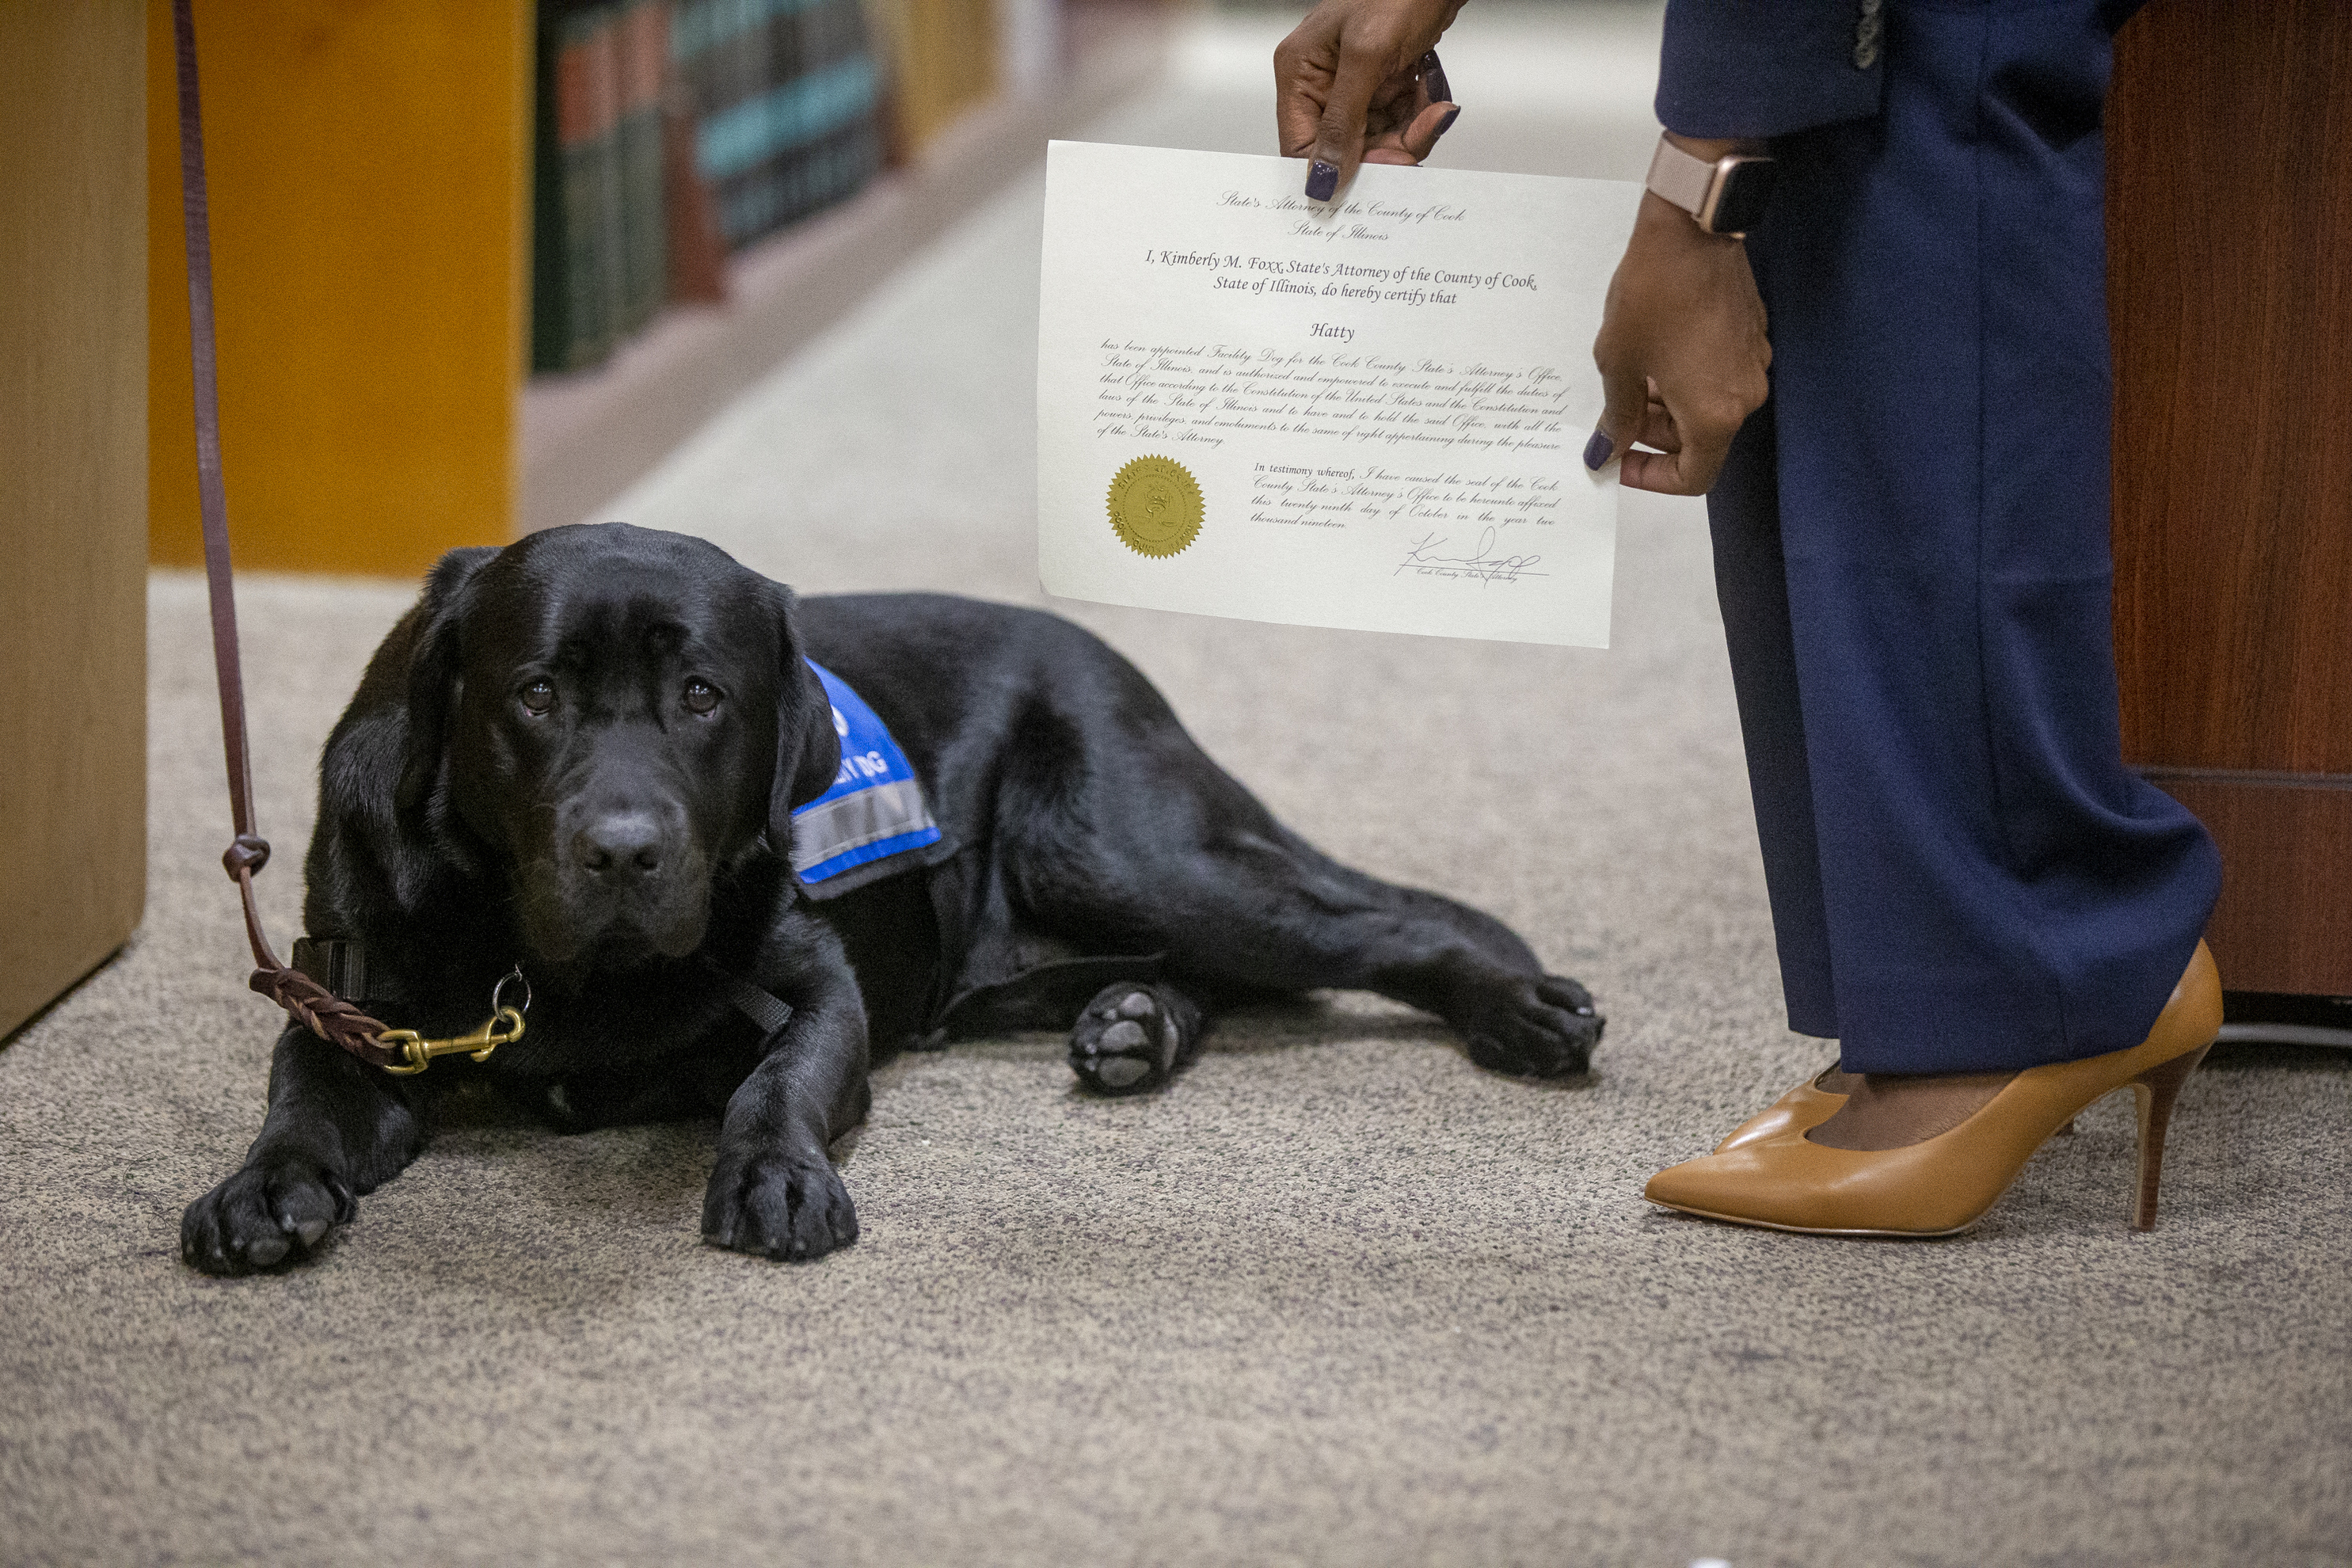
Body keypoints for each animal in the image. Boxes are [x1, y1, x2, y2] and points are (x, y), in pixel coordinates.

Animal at [183, 526, 1608, 1278]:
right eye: (534, 694)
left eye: (703, 697)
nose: (626, 852)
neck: (551, 962)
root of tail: (1111, 658)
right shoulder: (354, 1008)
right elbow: (300, 1098)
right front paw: (265, 1187)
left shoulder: (814, 992)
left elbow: (777, 1083)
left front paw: (773, 1176)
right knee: (1216, 973)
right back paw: (1136, 1023)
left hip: (1120, 844)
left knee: (1375, 931)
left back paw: (1522, 1013)